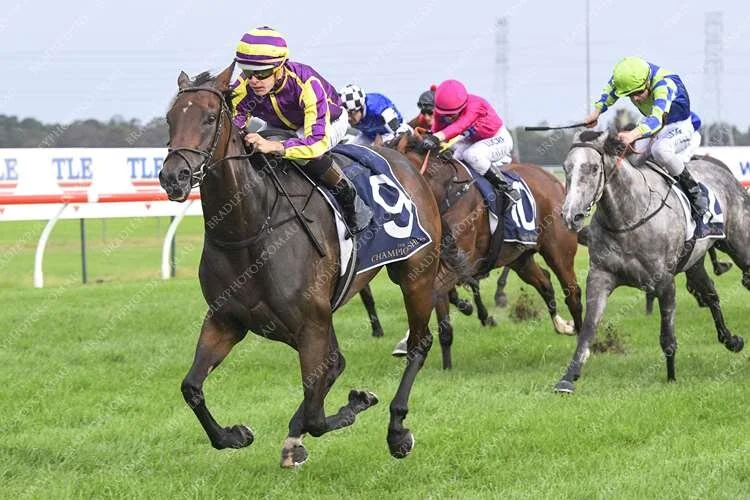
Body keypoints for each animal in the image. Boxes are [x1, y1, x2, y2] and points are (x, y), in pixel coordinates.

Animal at [159, 64, 441, 467]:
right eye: (170, 118)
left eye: (210, 118)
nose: (174, 177)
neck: (250, 226)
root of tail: (404, 160)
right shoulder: (227, 319)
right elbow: (191, 387)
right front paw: (234, 435)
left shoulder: (310, 323)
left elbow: (317, 415)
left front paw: (356, 403)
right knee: (335, 366)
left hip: (416, 274)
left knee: (419, 343)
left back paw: (397, 430)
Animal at [384, 131, 583, 369]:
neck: (447, 192)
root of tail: (553, 180)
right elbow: (443, 322)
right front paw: (445, 365)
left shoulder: (457, 266)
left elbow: (434, 298)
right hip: (519, 258)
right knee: (544, 282)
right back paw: (562, 325)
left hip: (559, 252)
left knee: (573, 293)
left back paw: (582, 347)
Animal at [555, 129, 747, 393]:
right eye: (566, 168)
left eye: (593, 168)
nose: (570, 216)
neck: (627, 219)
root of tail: (723, 172)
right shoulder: (600, 276)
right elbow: (588, 329)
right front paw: (568, 377)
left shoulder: (664, 282)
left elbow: (667, 336)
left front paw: (671, 377)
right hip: (695, 261)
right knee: (711, 296)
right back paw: (731, 340)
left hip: (740, 246)